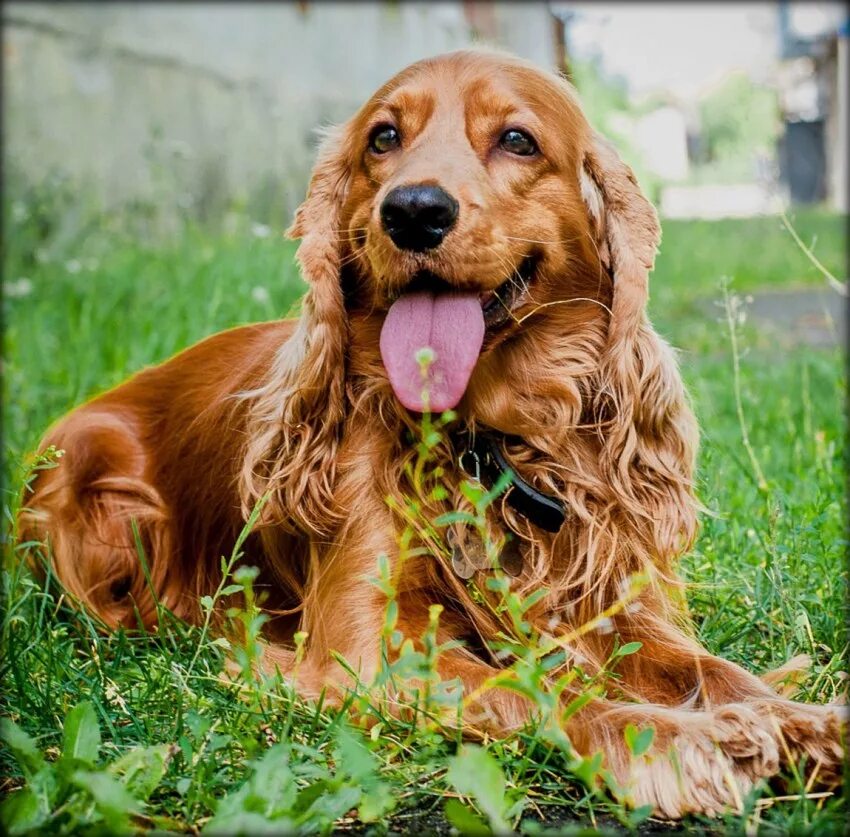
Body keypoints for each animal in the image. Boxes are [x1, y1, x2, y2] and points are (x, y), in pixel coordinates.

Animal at [19, 49, 840, 812]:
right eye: (383, 137)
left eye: (517, 139)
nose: (413, 209)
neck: (486, 442)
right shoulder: (368, 645)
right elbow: (535, 689)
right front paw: (682, 741)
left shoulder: (610, 601)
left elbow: (712, 670)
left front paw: (798, 721)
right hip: (96, 497)